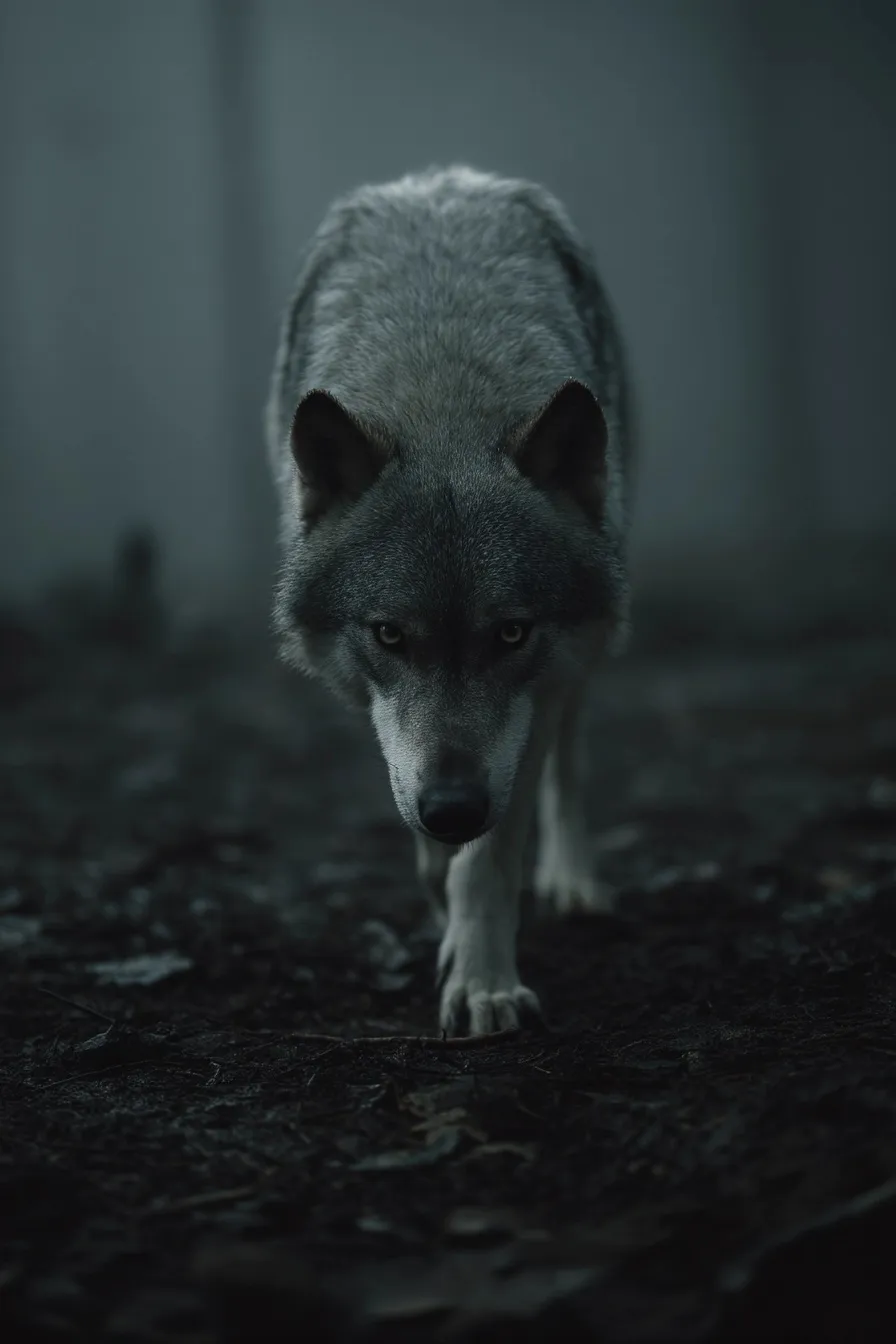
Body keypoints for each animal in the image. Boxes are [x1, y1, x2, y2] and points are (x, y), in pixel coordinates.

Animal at [266, 166, 633, 1036]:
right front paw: (442, 904)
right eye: (390, 634)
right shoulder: (382, 716)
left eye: (511, 633)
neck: (443, 399)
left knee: (572, 756)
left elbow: (490, 862)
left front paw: (484, 981)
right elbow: (425, 824)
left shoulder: (536, 694)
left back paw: (572, 881)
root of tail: (441, 177)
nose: (455, 808)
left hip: (587, 650)